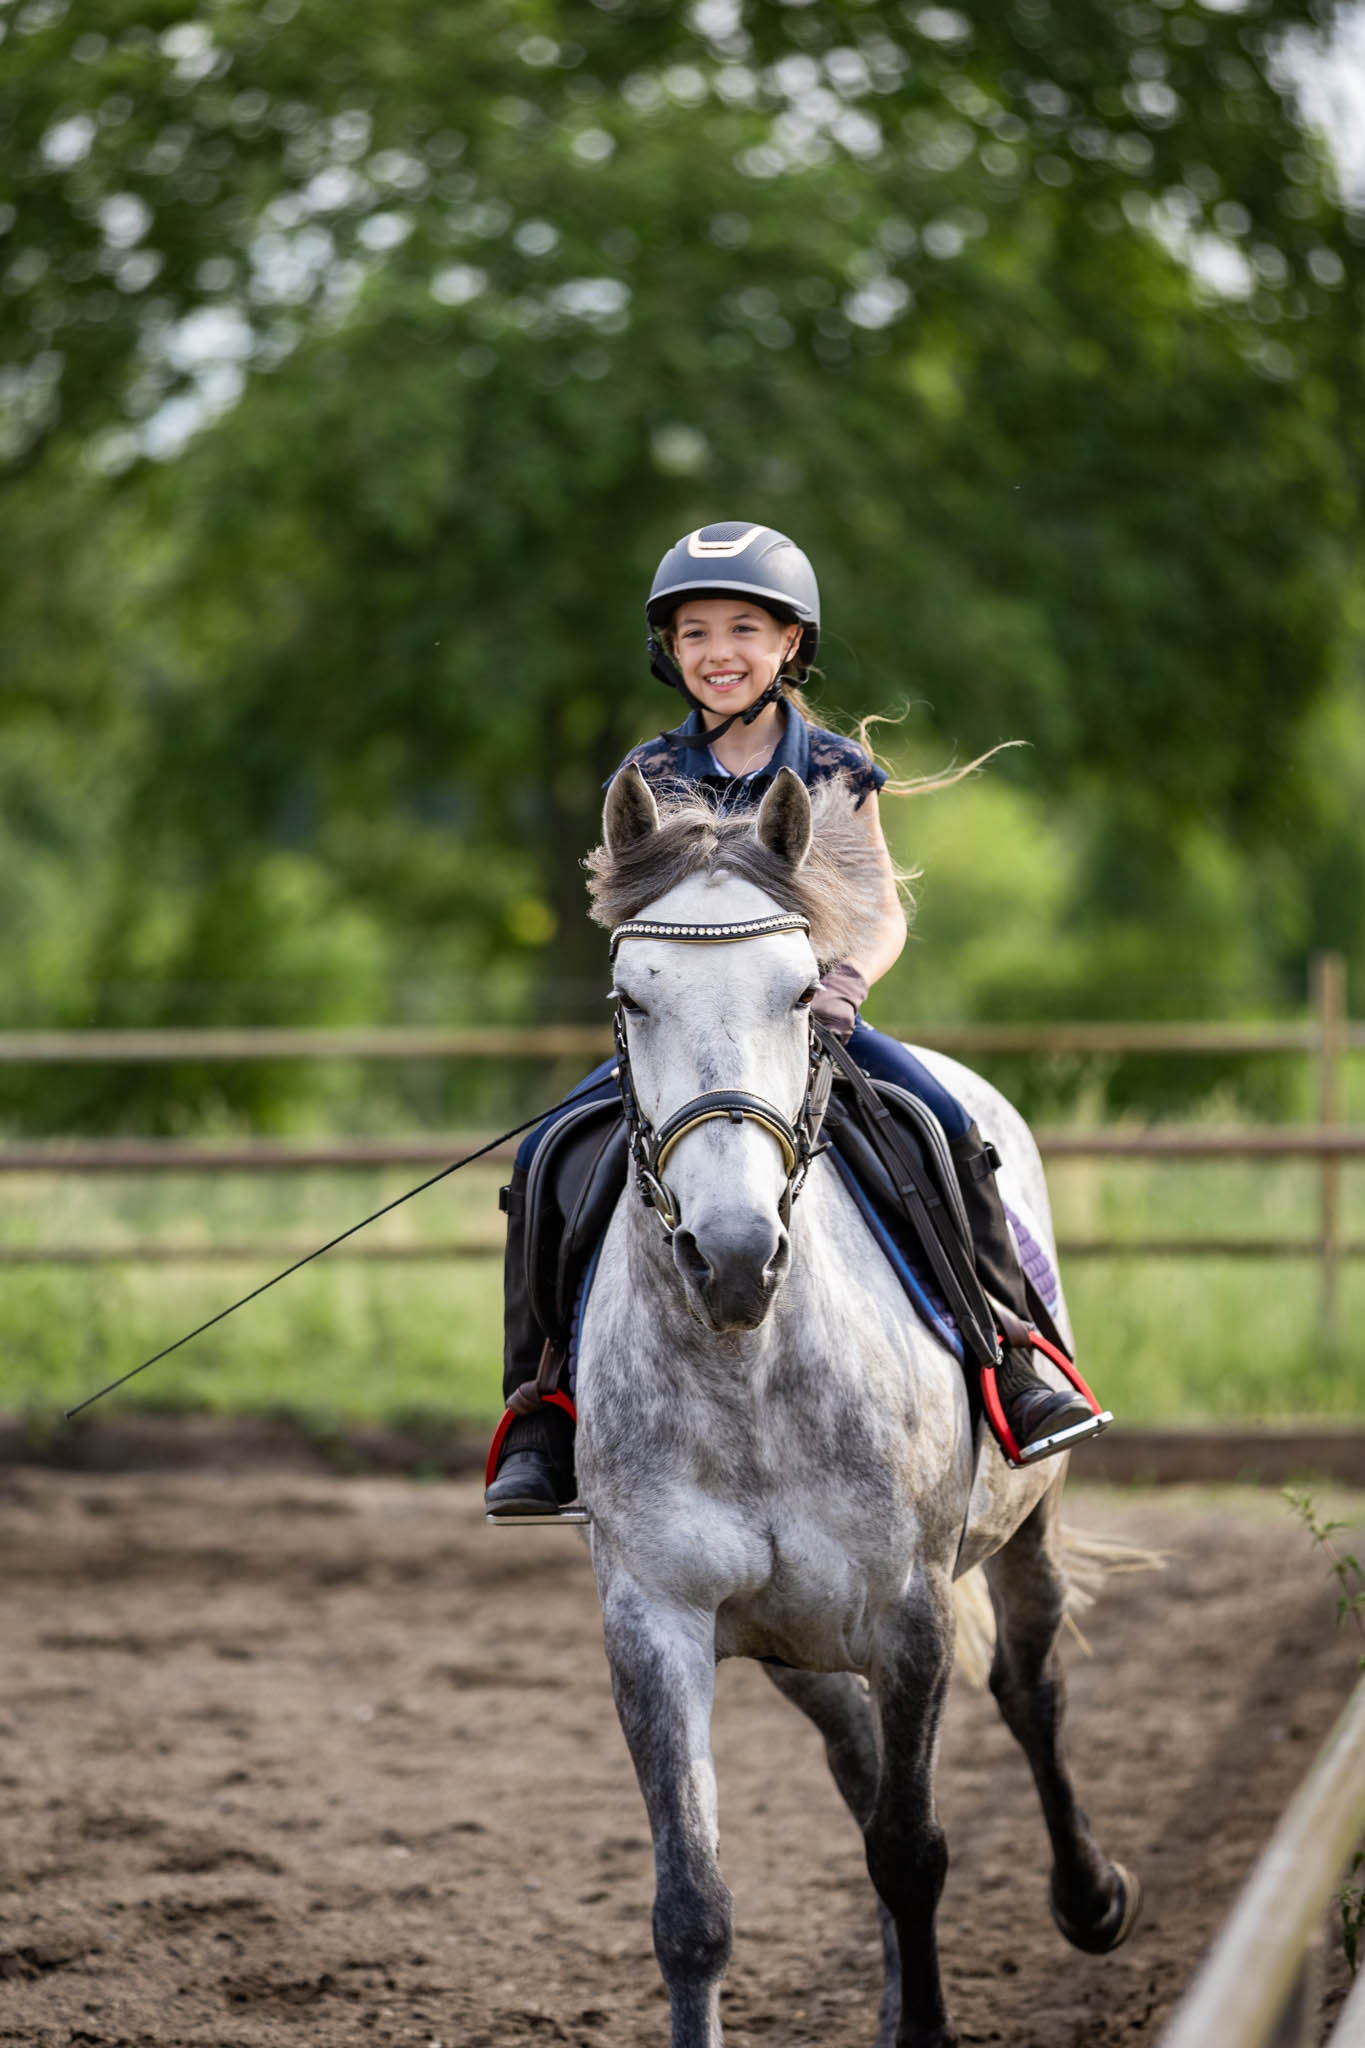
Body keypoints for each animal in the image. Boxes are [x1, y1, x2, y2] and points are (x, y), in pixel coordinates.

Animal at [573, 765, 1137, 2048]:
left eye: (798, 989)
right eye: (631, 996)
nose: (733, 1255)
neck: (749, 1373)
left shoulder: (908, 1612)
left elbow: (913, 1850)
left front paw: (927, 2022)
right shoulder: (656, 1623)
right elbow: (693, 1906)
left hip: (1023, 1523)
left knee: (1030, 1690)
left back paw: (1090, 1899)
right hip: (799, 1643)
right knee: (864, 1765)